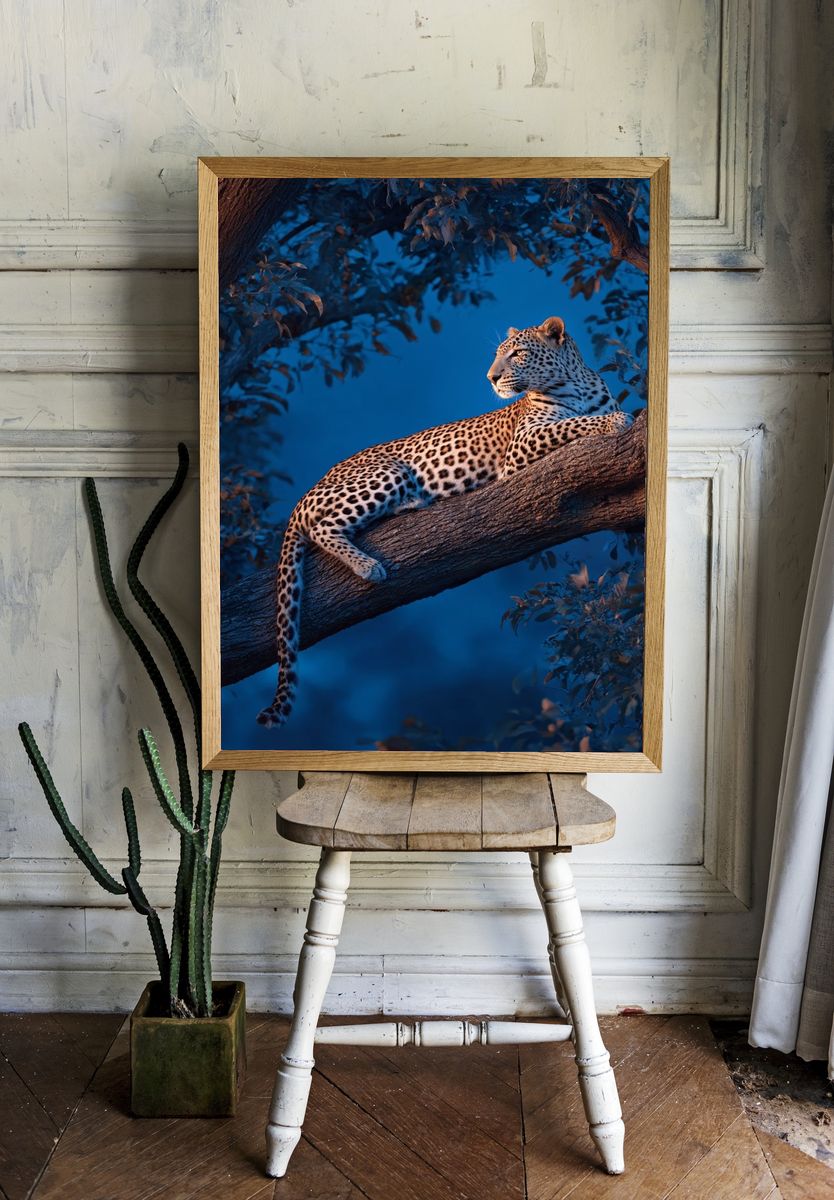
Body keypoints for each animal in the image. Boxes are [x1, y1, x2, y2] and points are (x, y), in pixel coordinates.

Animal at [257, 315, 632, 727]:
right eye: (497, 355)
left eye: (517, 353)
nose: (491, 378)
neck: (573, 384)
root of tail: (308, 491)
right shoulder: (522, 447)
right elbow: (573, 425)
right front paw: (615, 420)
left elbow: (580, 421)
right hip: (386, 473)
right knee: (323, 526)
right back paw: (369, 565)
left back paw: (411, 504)